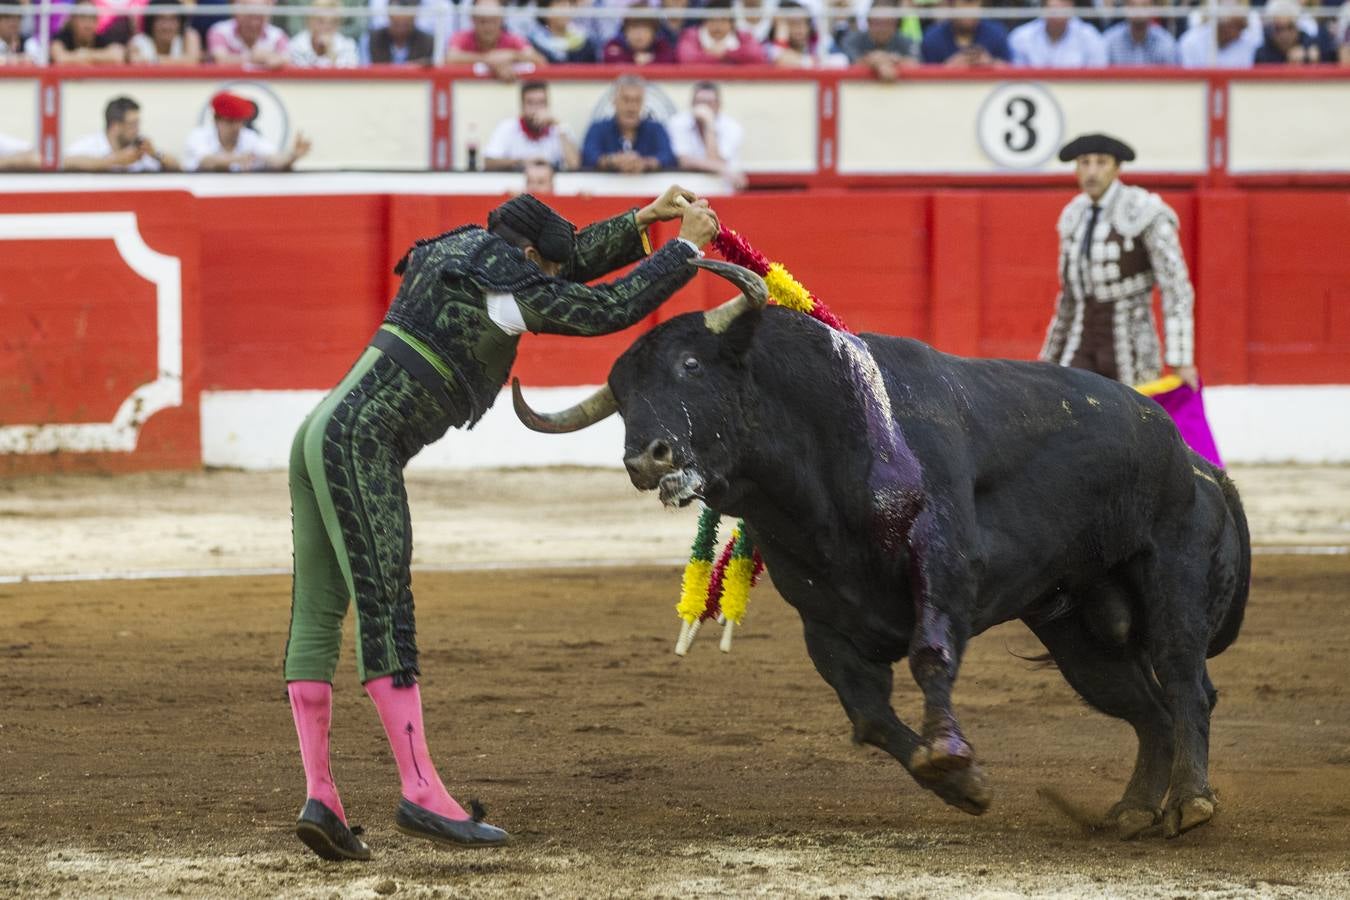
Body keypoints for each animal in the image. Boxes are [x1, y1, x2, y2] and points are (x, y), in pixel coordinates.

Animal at [510, 259, 1247, 836]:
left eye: (690, 364)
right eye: (623, 397)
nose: (646, 457)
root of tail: (1196, 464)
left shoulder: (943, 567)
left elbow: (930, 655)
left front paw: (948, 750)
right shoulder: (825, 620)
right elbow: (867, 715)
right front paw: (958, 784)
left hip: (1172, 580)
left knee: (1185, 684)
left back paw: (1191, 804)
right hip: (1079, 636)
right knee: (1147, 710)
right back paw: (1132, 811)